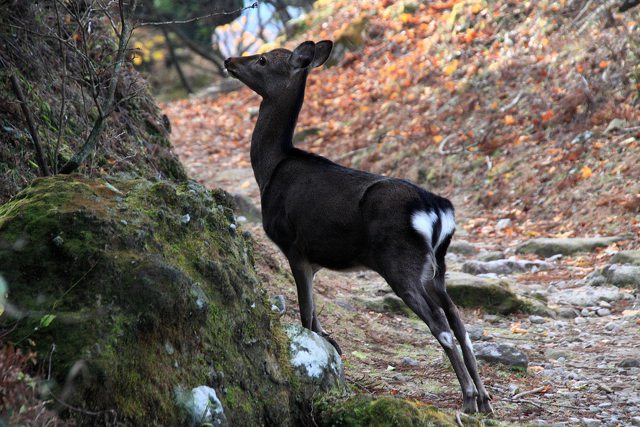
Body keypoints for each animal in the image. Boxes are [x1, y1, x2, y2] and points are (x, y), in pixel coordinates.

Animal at [225, 40, 496, 414]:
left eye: (263, 59)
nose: (229, 60)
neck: (270, 171)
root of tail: (438, 211)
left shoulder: (294, 245)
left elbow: (306, 315)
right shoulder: (316, 259)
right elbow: (316, 320)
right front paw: (332, 352)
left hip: (400, 262)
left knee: (440, 324)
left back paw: (468, 398)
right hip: (437, 269)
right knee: (459, 322)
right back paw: (485, 399)